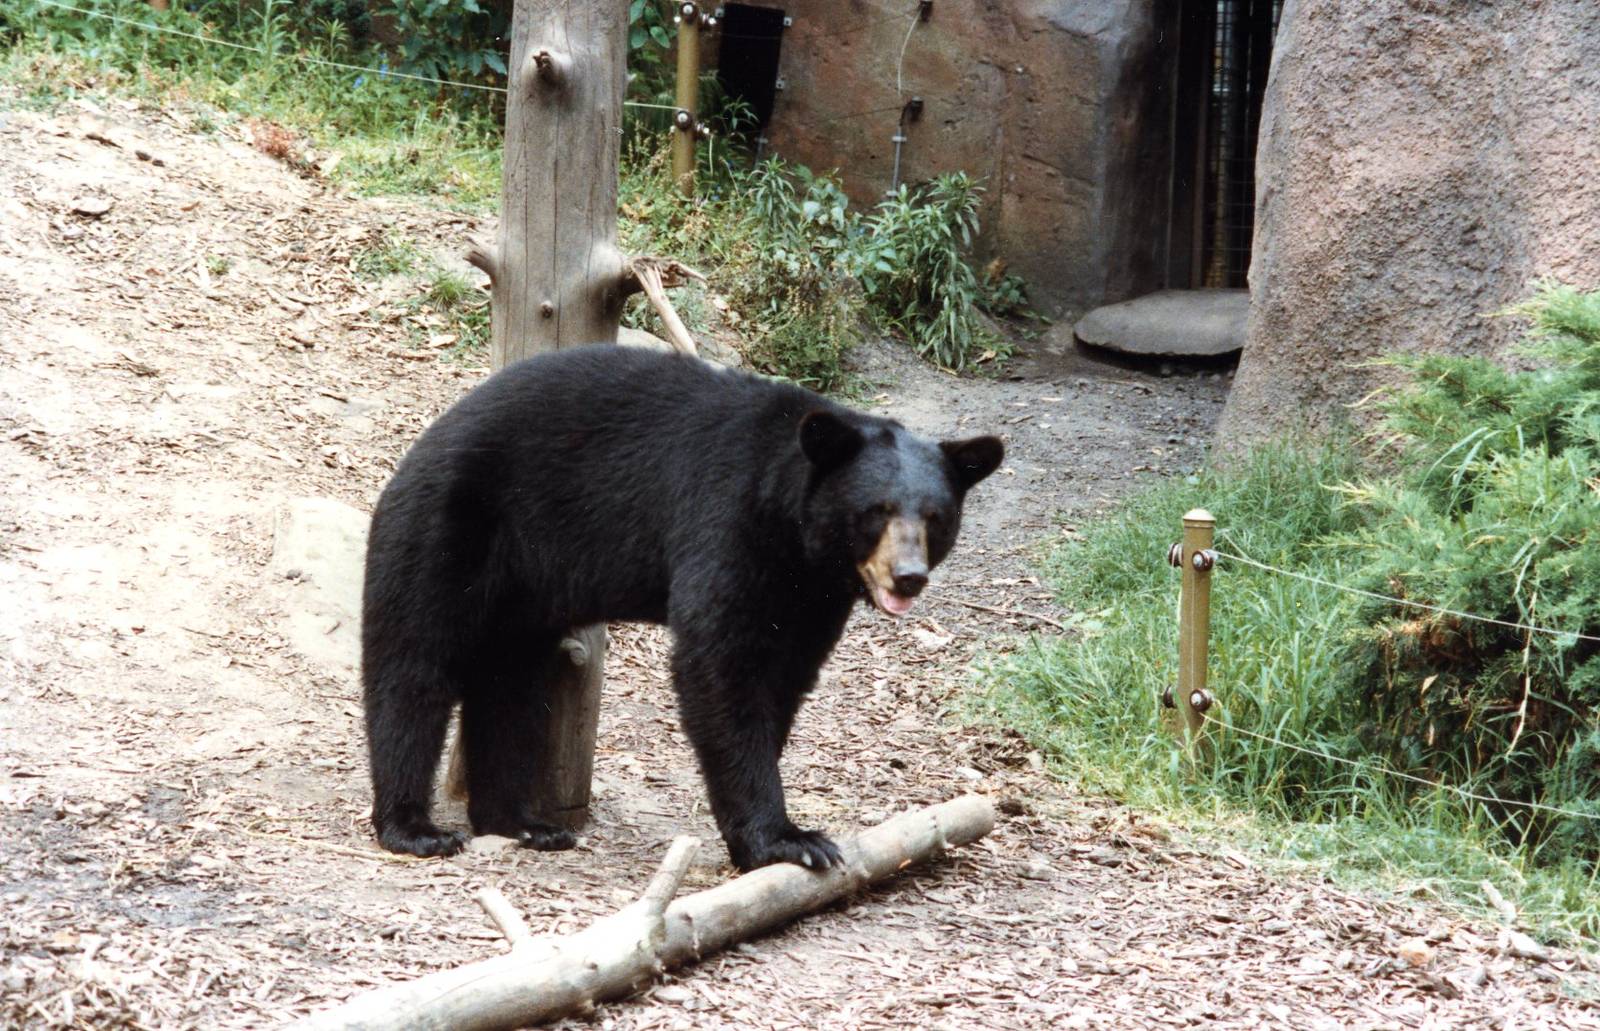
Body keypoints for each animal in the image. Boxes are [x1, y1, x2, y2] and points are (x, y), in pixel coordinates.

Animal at [361, 344, 1003, 870]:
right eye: (876, 510)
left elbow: (785, 676)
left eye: (935, 518)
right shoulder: (725, 519)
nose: (908, 577)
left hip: (521, 595)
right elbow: (720, 665)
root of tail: (419, 446)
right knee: (413, 665)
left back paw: (521, 823)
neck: (794, 536)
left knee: (512, 686)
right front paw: (785, 840)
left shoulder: (811, 597)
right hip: (449, 530)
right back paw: (413, 827)